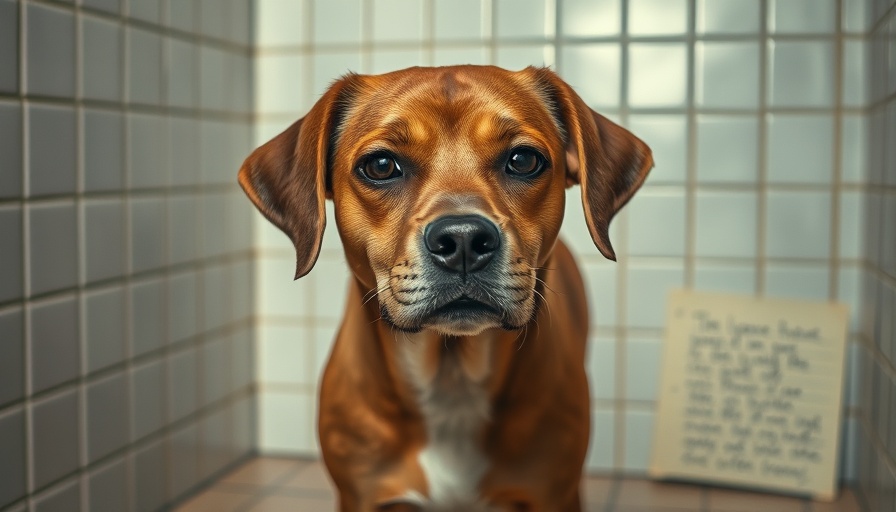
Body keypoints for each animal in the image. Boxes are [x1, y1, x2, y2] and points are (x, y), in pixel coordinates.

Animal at [240, 66, 652, 510]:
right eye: (381, 165)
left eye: (523, 160)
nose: (464, 240)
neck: (452, 378)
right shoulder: (362, 497)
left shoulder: (554, 495)